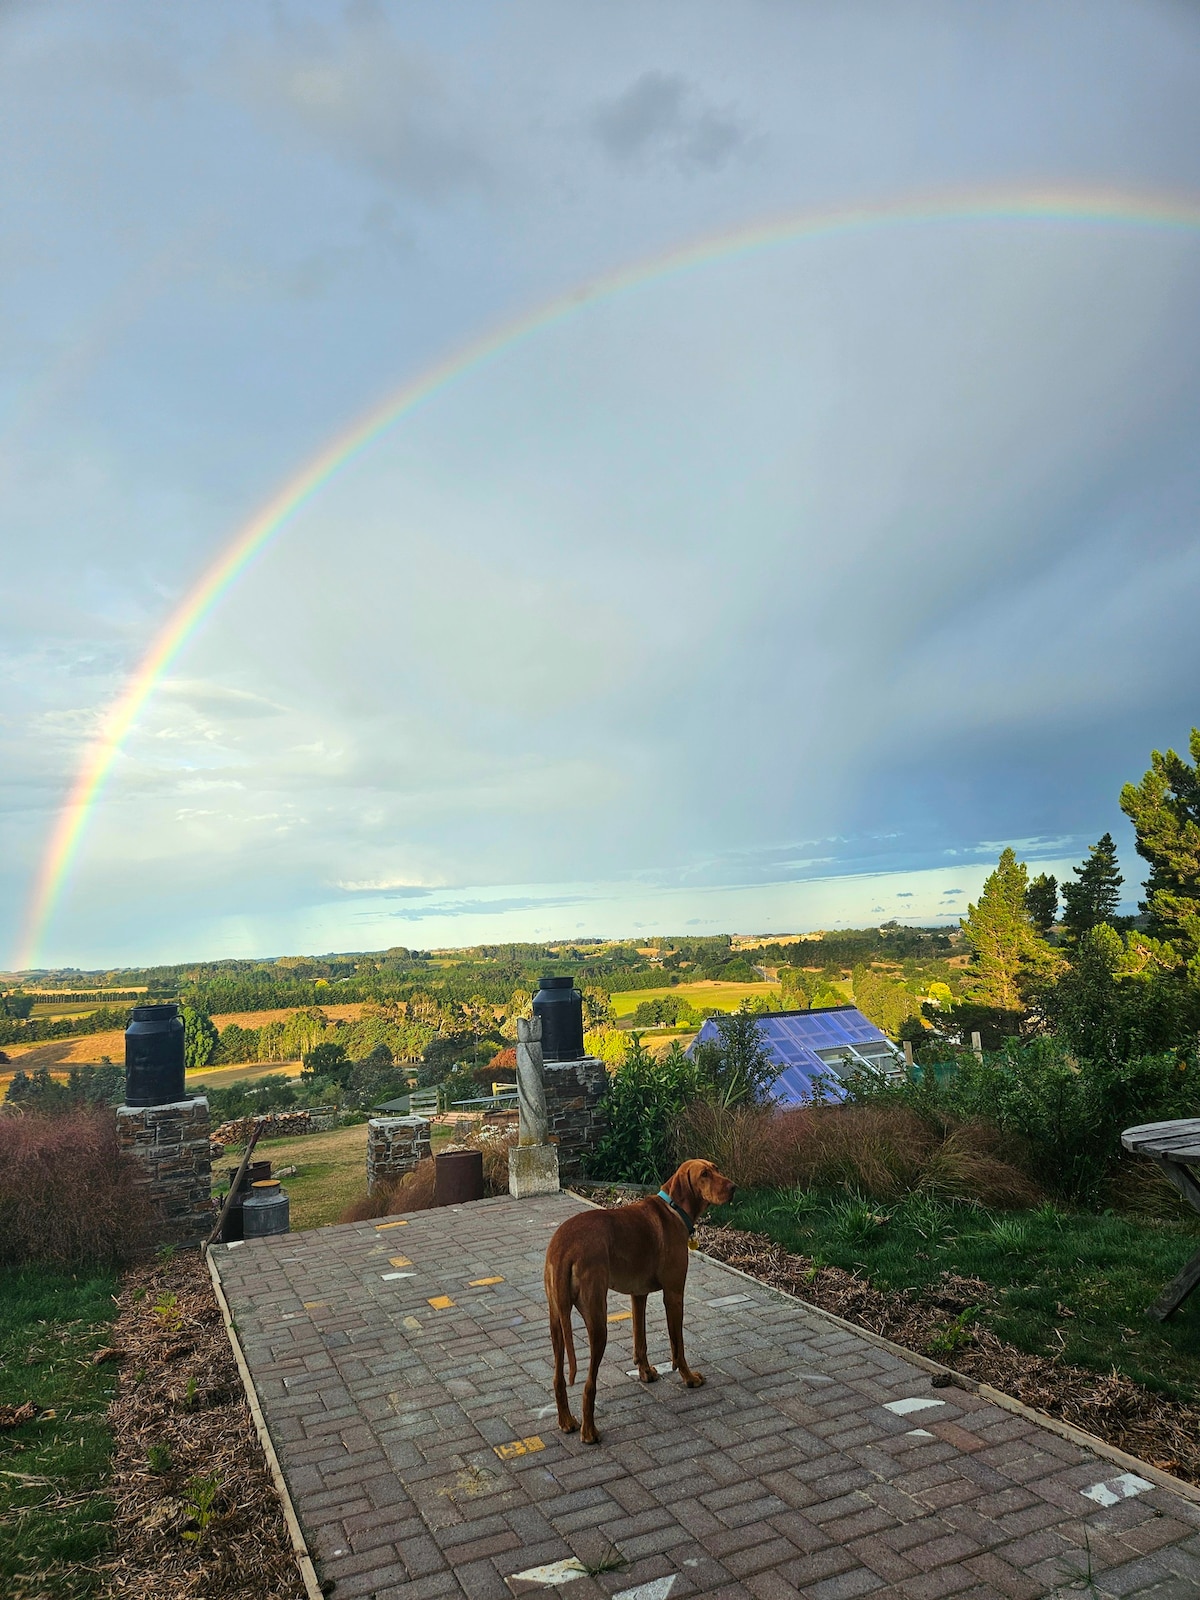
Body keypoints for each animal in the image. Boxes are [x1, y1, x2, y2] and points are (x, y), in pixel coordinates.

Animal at [544, 1158, 732, 1446]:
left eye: (716, 1169)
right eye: (704, 1174)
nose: (733, 1188)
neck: (674, 1208)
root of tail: (563, 1247)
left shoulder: (638, 1294)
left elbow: (640, 1340)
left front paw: (646, 1373)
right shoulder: (674, 1294)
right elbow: (678, 1345)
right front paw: (689, 1378)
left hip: (556, 1321)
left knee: (557, 1378)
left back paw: (566, 1421)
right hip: (597, 1321)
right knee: (589, 1384)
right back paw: (589, 1432)